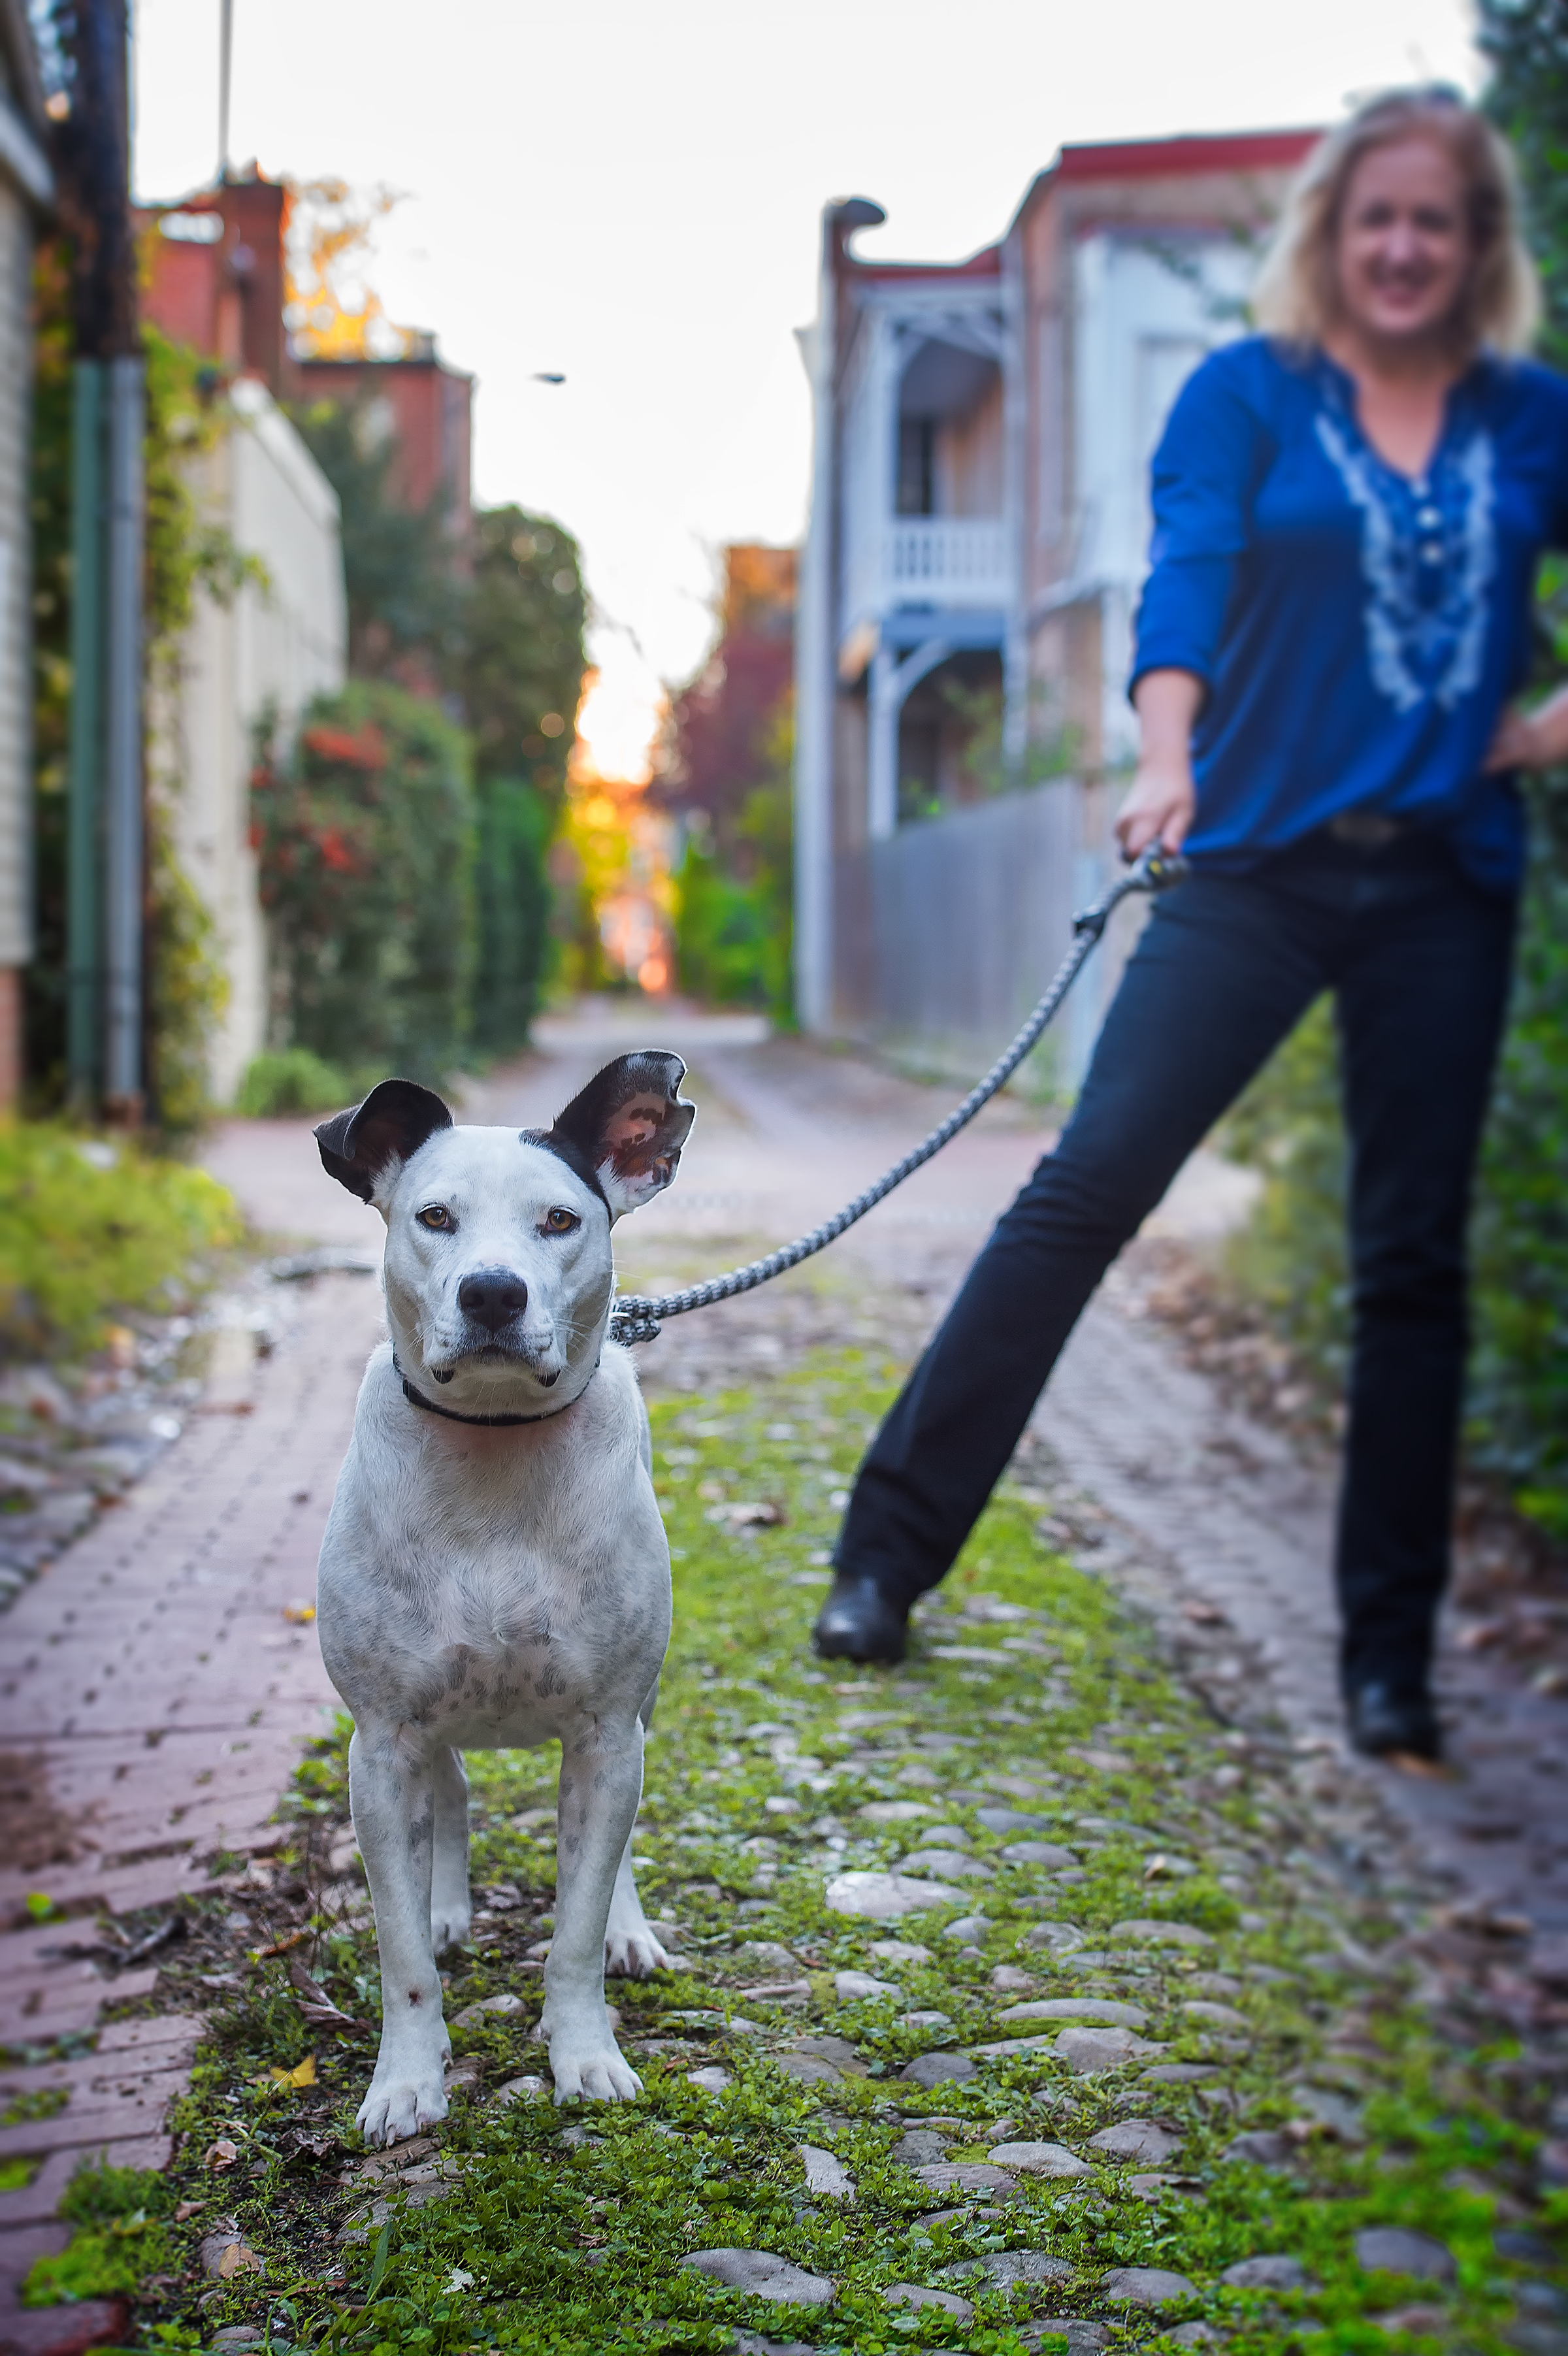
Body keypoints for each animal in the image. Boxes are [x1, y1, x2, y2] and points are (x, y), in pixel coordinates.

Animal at [310, 1060, 692, 2148]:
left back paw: (629, 1929)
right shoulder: (381, 1745)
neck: (492, 1442)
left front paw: (584, 2052)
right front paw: (407, 2080)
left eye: (561, 1219)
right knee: (453, 1795)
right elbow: (401, 1956)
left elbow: (573, 1926)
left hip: (634, 1723)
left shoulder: (605, 1735)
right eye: (433, 1216)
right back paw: (448, 1906)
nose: (492, 1291)